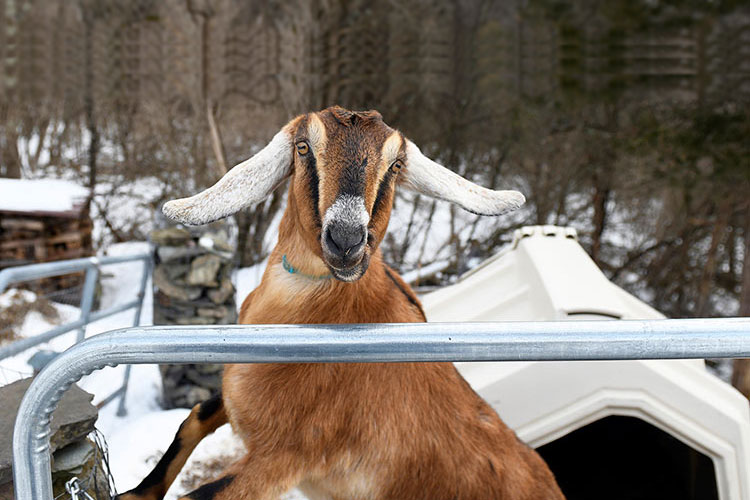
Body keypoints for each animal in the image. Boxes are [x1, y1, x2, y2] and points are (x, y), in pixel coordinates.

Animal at [117, 106, 564, 500]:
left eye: (395, 165)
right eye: (303, 147)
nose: (346, 240)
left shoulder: (285, 455)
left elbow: (198, 493)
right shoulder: (234, 400)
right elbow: (193, 419)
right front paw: (134, 492)